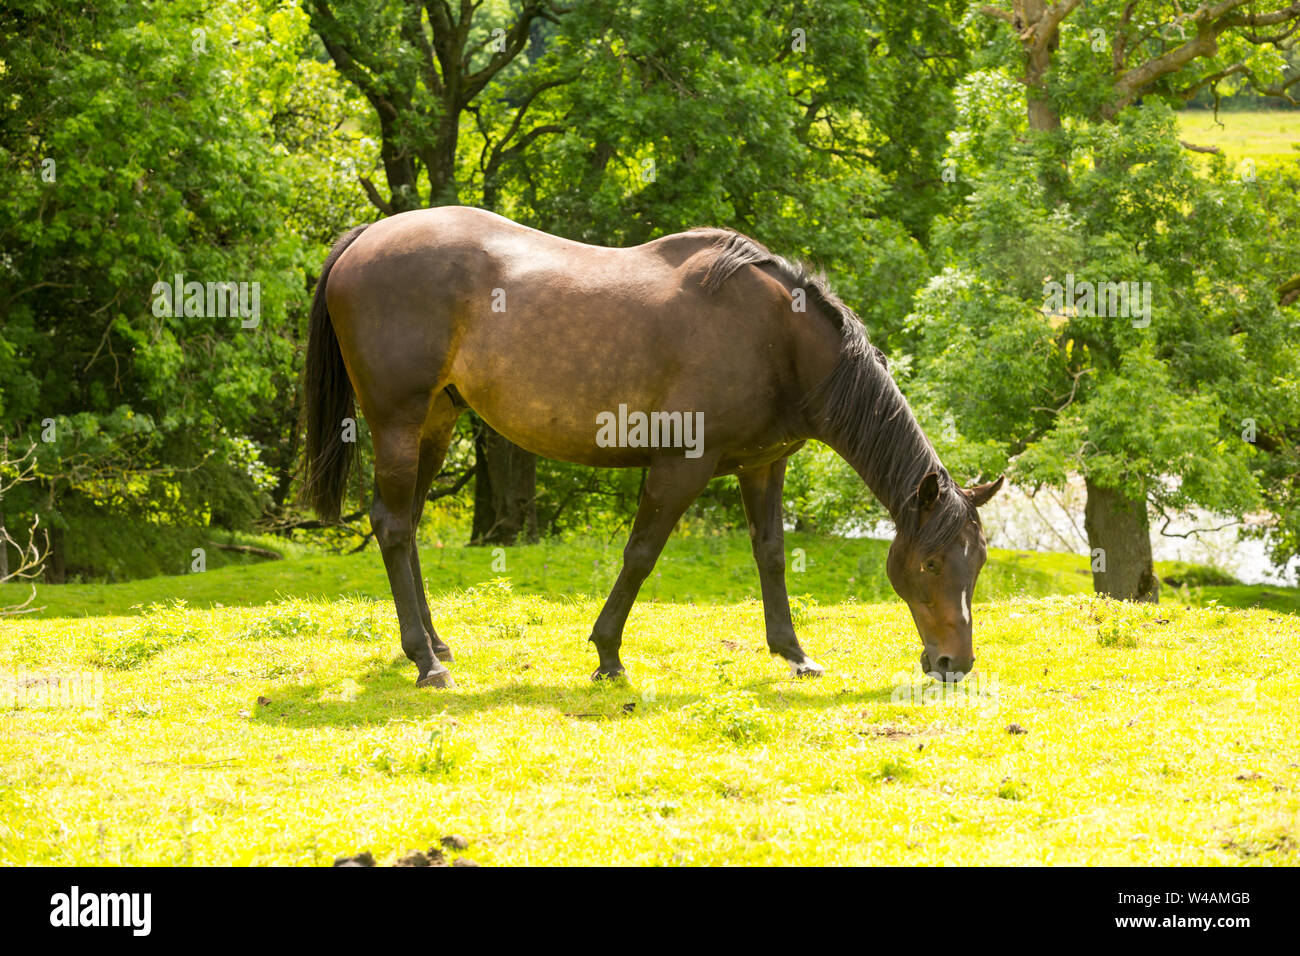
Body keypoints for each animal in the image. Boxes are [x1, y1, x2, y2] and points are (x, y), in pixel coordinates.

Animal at [301, 206, 1003, 689]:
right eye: (931, 564)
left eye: (979, 563)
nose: (954, 663)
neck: (777, 336)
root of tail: (366, 236)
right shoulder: (680, 468)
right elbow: (640, 555)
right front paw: (608, 653)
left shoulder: (762, 466)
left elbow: (772, 555)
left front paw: (794, 653)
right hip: (398, 421)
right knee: (393, 526)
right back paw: (427, 663)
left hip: (436, 423)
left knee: (408, 525)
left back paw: (434, 645)